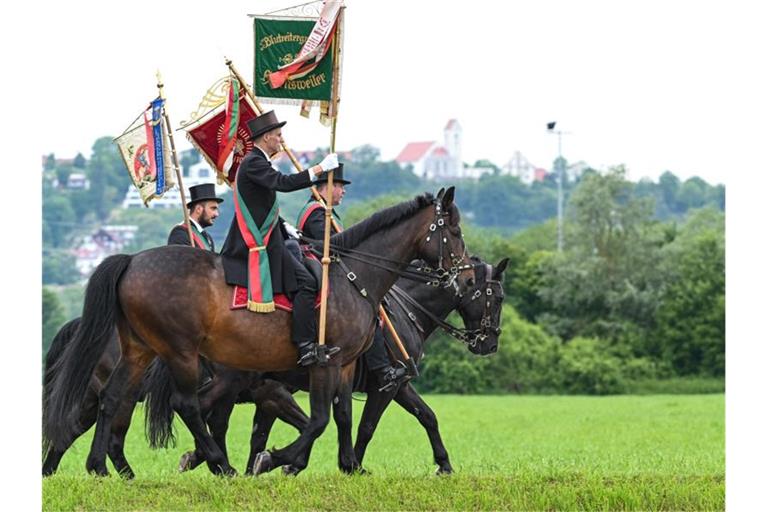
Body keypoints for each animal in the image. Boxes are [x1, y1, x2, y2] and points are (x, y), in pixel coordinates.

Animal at [45, 188, 474, 476]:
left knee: (110, 401)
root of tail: (131, 260)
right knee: (184, 405)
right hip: (180, 353)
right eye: (453, 231)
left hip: (139, 352)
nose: (465, 277)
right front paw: (277, 461)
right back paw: (220, 465)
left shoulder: (345, 367)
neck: (352, 276)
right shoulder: (323, 365)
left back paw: (99, 467)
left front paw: (346, 464)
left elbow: (342, 416)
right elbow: (318, 420)